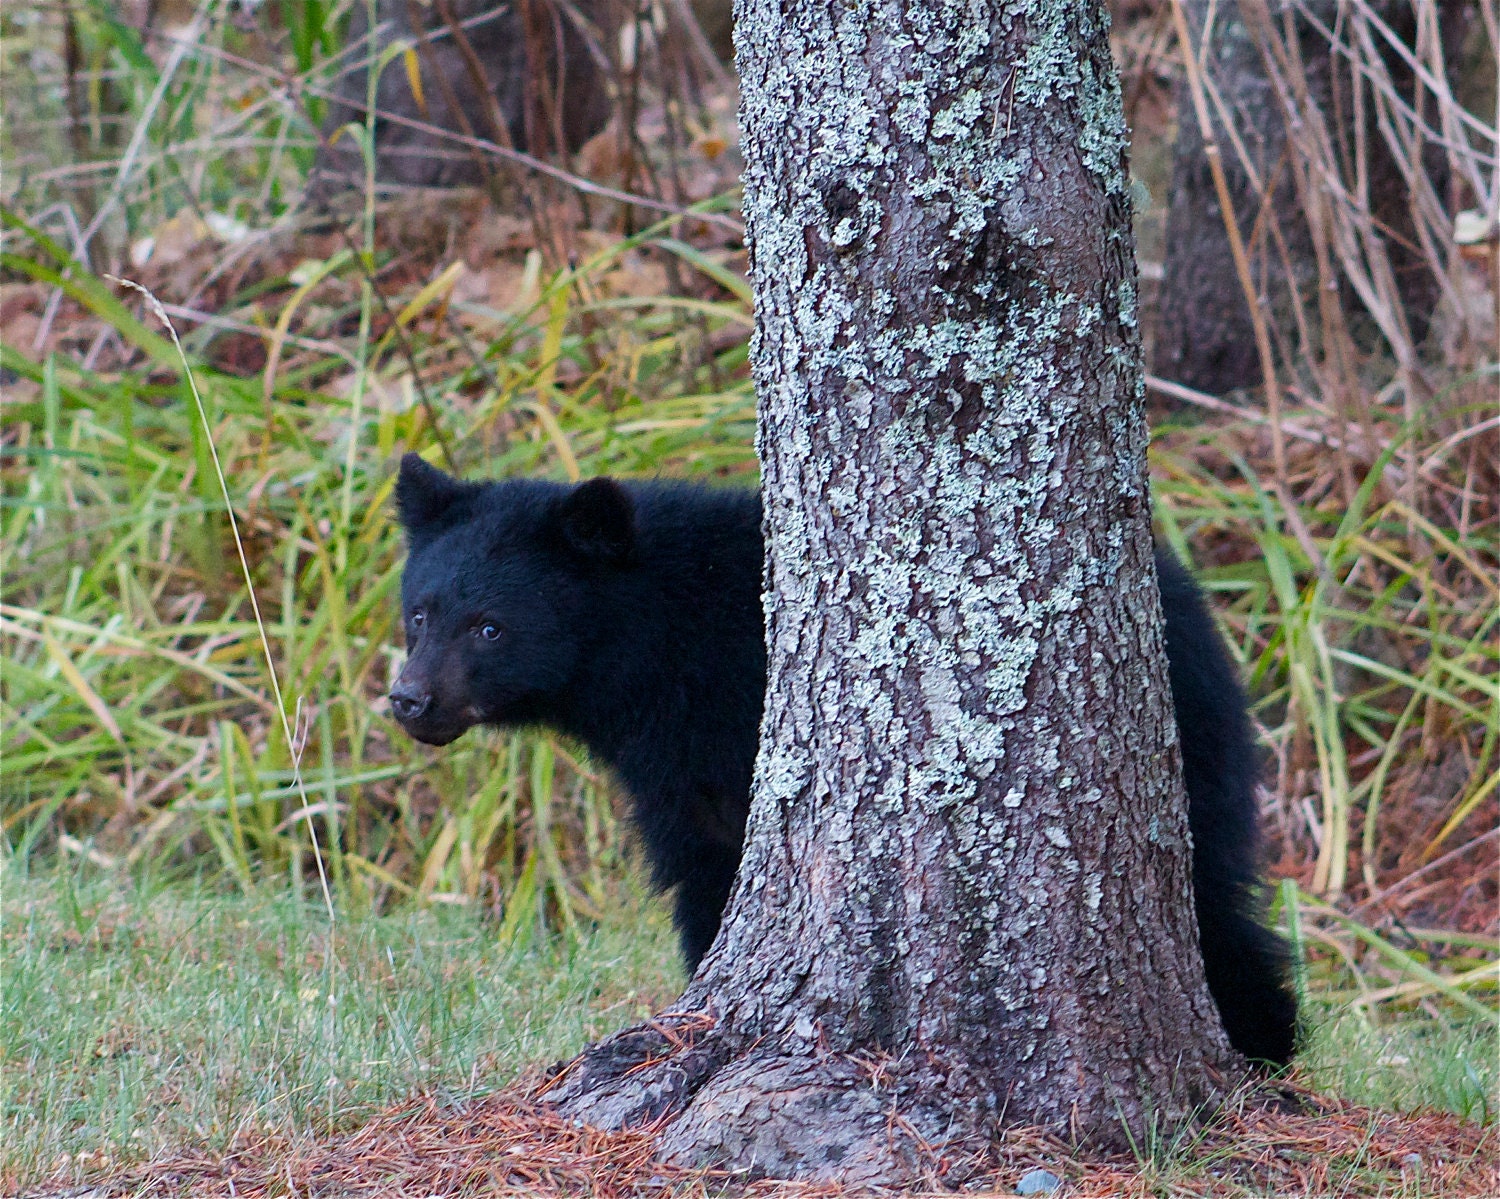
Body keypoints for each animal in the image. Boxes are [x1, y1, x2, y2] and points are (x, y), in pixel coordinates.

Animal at [389, 453, 1298, 1065]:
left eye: (490, 626)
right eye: (420, 613)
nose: (408, 700)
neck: (655, 653)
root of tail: (1194, 609)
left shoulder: (725, 722)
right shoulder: (682, 776)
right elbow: (703, 871)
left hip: (1189, 748)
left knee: (1210, 890)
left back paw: (1264, 1038)